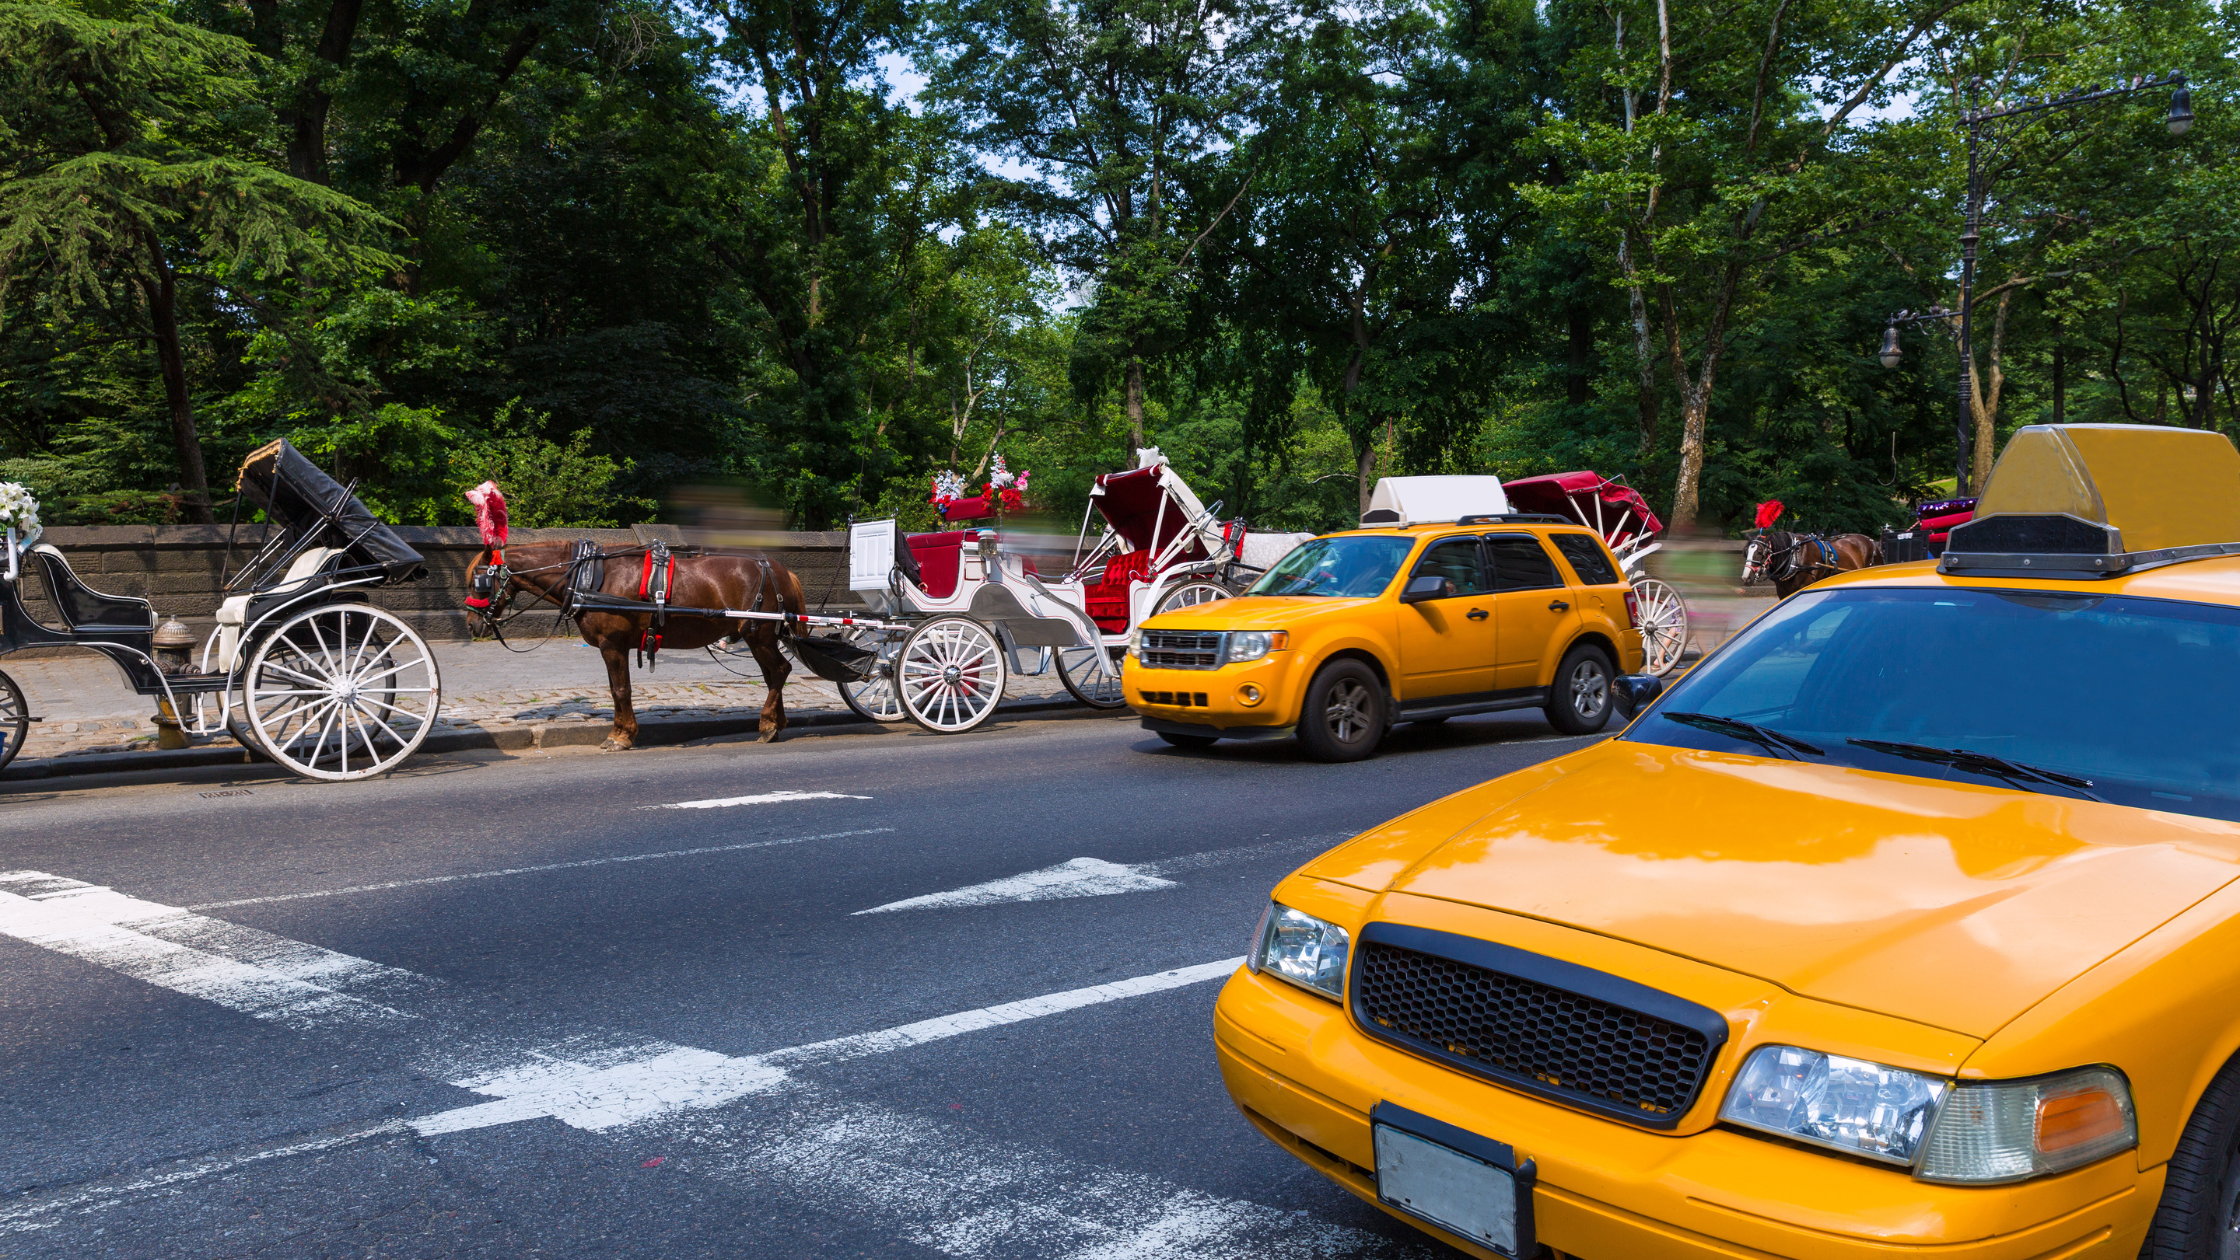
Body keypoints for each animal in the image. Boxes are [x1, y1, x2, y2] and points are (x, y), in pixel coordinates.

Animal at [477, 538, 810, 744]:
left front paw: (622, 736)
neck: (587, 577)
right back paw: (776, 722)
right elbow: (614, 691)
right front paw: (621, 730)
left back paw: (767, 722)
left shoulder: (613, 645)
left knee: (780, 671)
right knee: (773, 676)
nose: (473, 623)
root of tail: (782, 571)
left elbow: (621, 690)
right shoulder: (612, 647)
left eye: (479, 581)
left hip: (759, 636)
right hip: (760, 638)